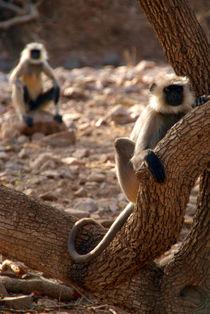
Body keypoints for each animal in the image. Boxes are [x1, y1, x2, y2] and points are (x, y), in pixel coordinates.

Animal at [68, 73, 208, 262]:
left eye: (178, 89)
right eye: (168, 90)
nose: (174, 96)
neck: (170, 112)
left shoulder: (185, 111)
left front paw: (201, 100)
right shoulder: (153, 116)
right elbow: (138, 155)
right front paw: (149, 156)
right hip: (135, 182)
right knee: (120, 143)